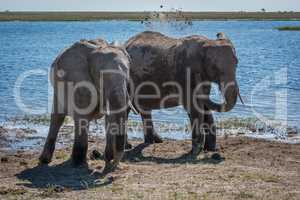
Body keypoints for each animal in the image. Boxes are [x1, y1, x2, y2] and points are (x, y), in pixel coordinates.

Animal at [39, 38, 134, 167]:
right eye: (100, 76)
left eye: (127, 76)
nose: (113, 164)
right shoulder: (79, 83)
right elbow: (82, 115)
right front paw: (79, 163)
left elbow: (110, 117)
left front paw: (108, 158)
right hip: (58, 90)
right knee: (57, 118)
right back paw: (45, 160)